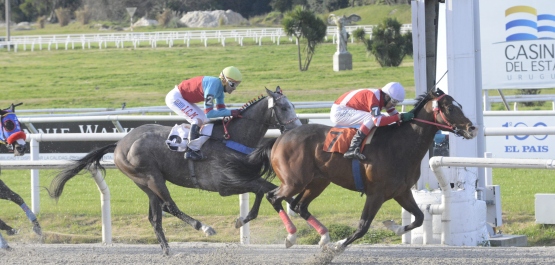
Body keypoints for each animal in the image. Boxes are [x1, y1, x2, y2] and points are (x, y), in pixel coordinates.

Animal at [50, 86, 304, 254]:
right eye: (283, 107)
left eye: (292, 105)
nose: (298, 128)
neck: (232, 138)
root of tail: (120, 143)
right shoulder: (226, 183)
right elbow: (266, 190)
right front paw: (286, 231)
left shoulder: (245, 177)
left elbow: (265, 190)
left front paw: (244, 220)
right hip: (151, 177)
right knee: (169, 206)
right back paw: (204, 228)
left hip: (144, 183)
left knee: (155, 215)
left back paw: (166, 249)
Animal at [222, 87, 478, 253]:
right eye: (449, 107)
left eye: (459, 105)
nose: (472, 128)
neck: (400, 145)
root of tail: (280, 138)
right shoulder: (376, 194)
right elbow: (363, 227)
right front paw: (338, 247)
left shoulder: (402, 192)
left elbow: (420, 217)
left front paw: (395, 227)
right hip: (294, 181)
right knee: (273, 196)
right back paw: (291, 236)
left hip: (318, 181)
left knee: (298, 205)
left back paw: (323, 236)